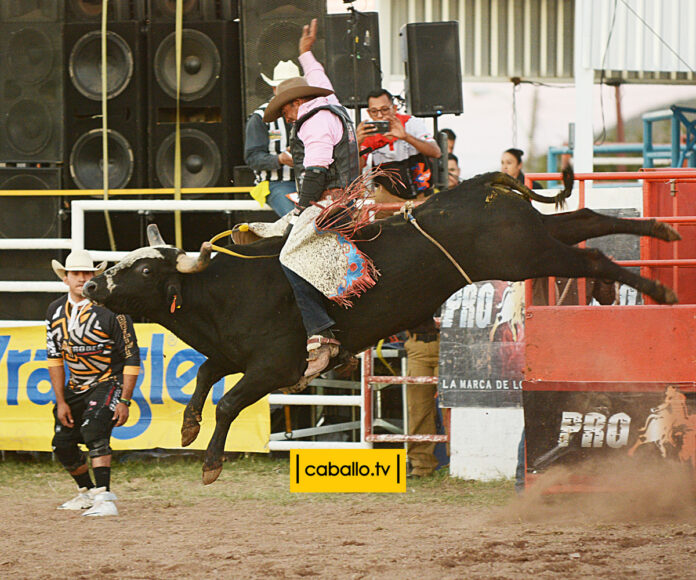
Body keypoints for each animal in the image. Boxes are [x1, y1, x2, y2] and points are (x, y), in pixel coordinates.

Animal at [83, 171, 680, 484]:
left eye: (142, 269)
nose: (90, 287)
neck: (225, 289)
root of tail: (479, 185)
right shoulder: (232, 355)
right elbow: (206, 376)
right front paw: (186, 427)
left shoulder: (274, 366)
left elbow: (228, 401)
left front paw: (208, 463)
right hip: (531, 241)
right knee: (586, 222)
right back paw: (661, 234)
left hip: (522, 256)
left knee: (593, 255)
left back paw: (659, 290)